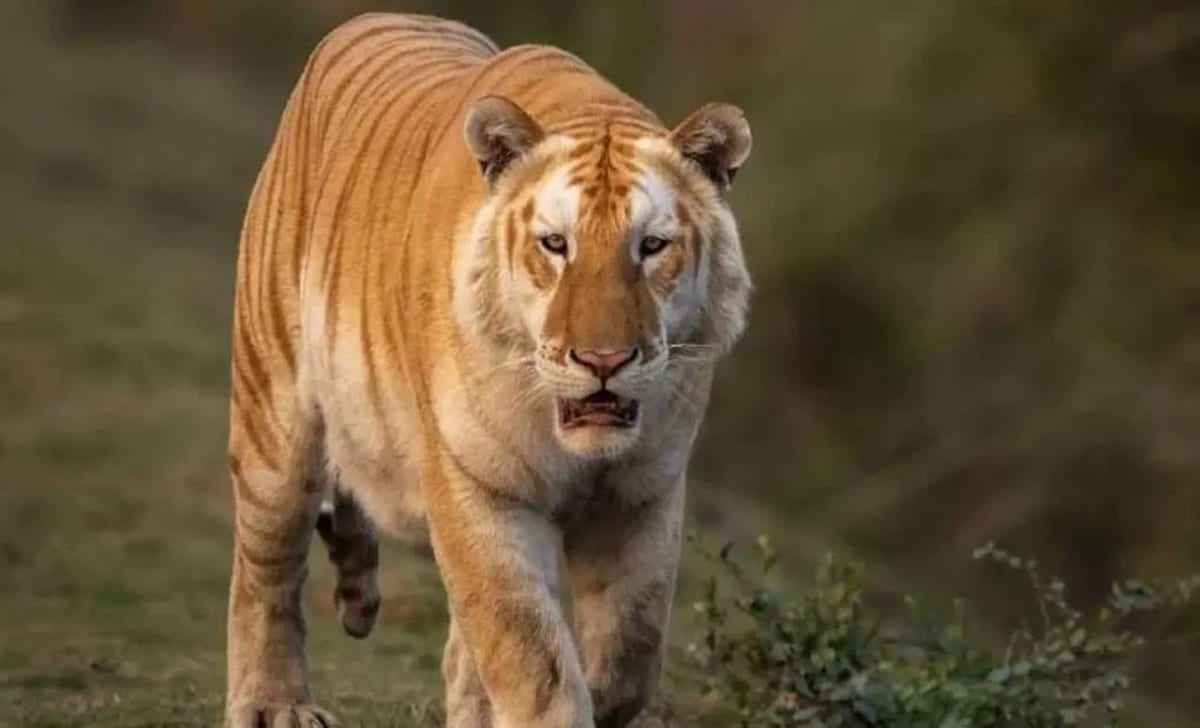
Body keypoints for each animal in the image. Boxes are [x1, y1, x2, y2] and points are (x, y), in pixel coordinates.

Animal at [225, 12, 752, 728]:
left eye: (651, 247)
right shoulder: (477, 486)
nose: (604, 360)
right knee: (267, 570)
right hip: (274, 419)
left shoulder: (643, 494)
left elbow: (626, 656)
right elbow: (531, 655)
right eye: (556, 245)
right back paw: (274, 705)